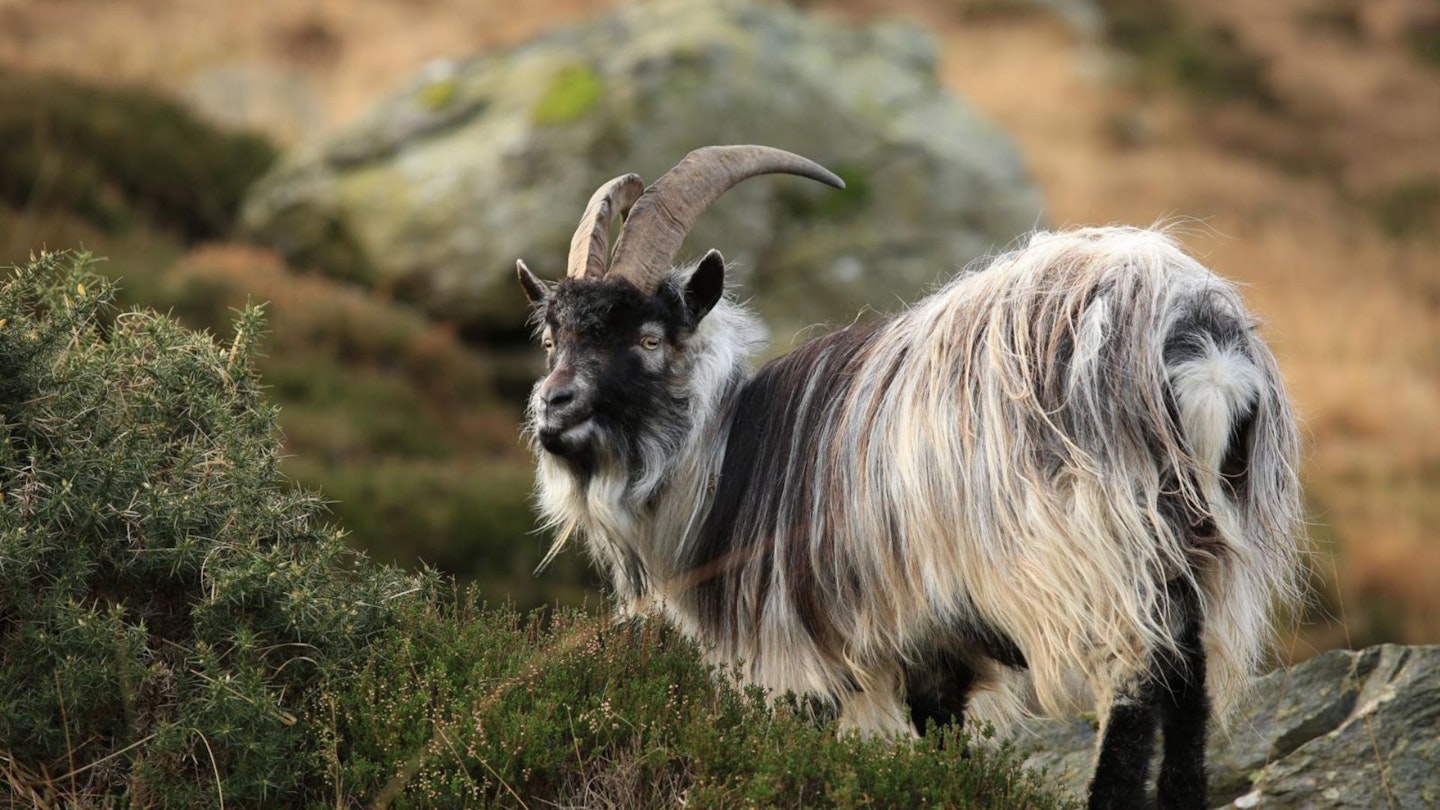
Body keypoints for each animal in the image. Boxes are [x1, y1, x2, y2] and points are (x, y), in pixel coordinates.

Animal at [518, 144, 1307, 807]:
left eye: (651, 339)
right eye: (553, 339)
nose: (552, 406)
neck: (730, 458)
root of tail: (1199, 345)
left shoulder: (855, 644)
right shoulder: (942, 644)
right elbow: (946, 740)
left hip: (1100, 550)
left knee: (1140, 679)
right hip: (1196, 548)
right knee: (1190, 687)